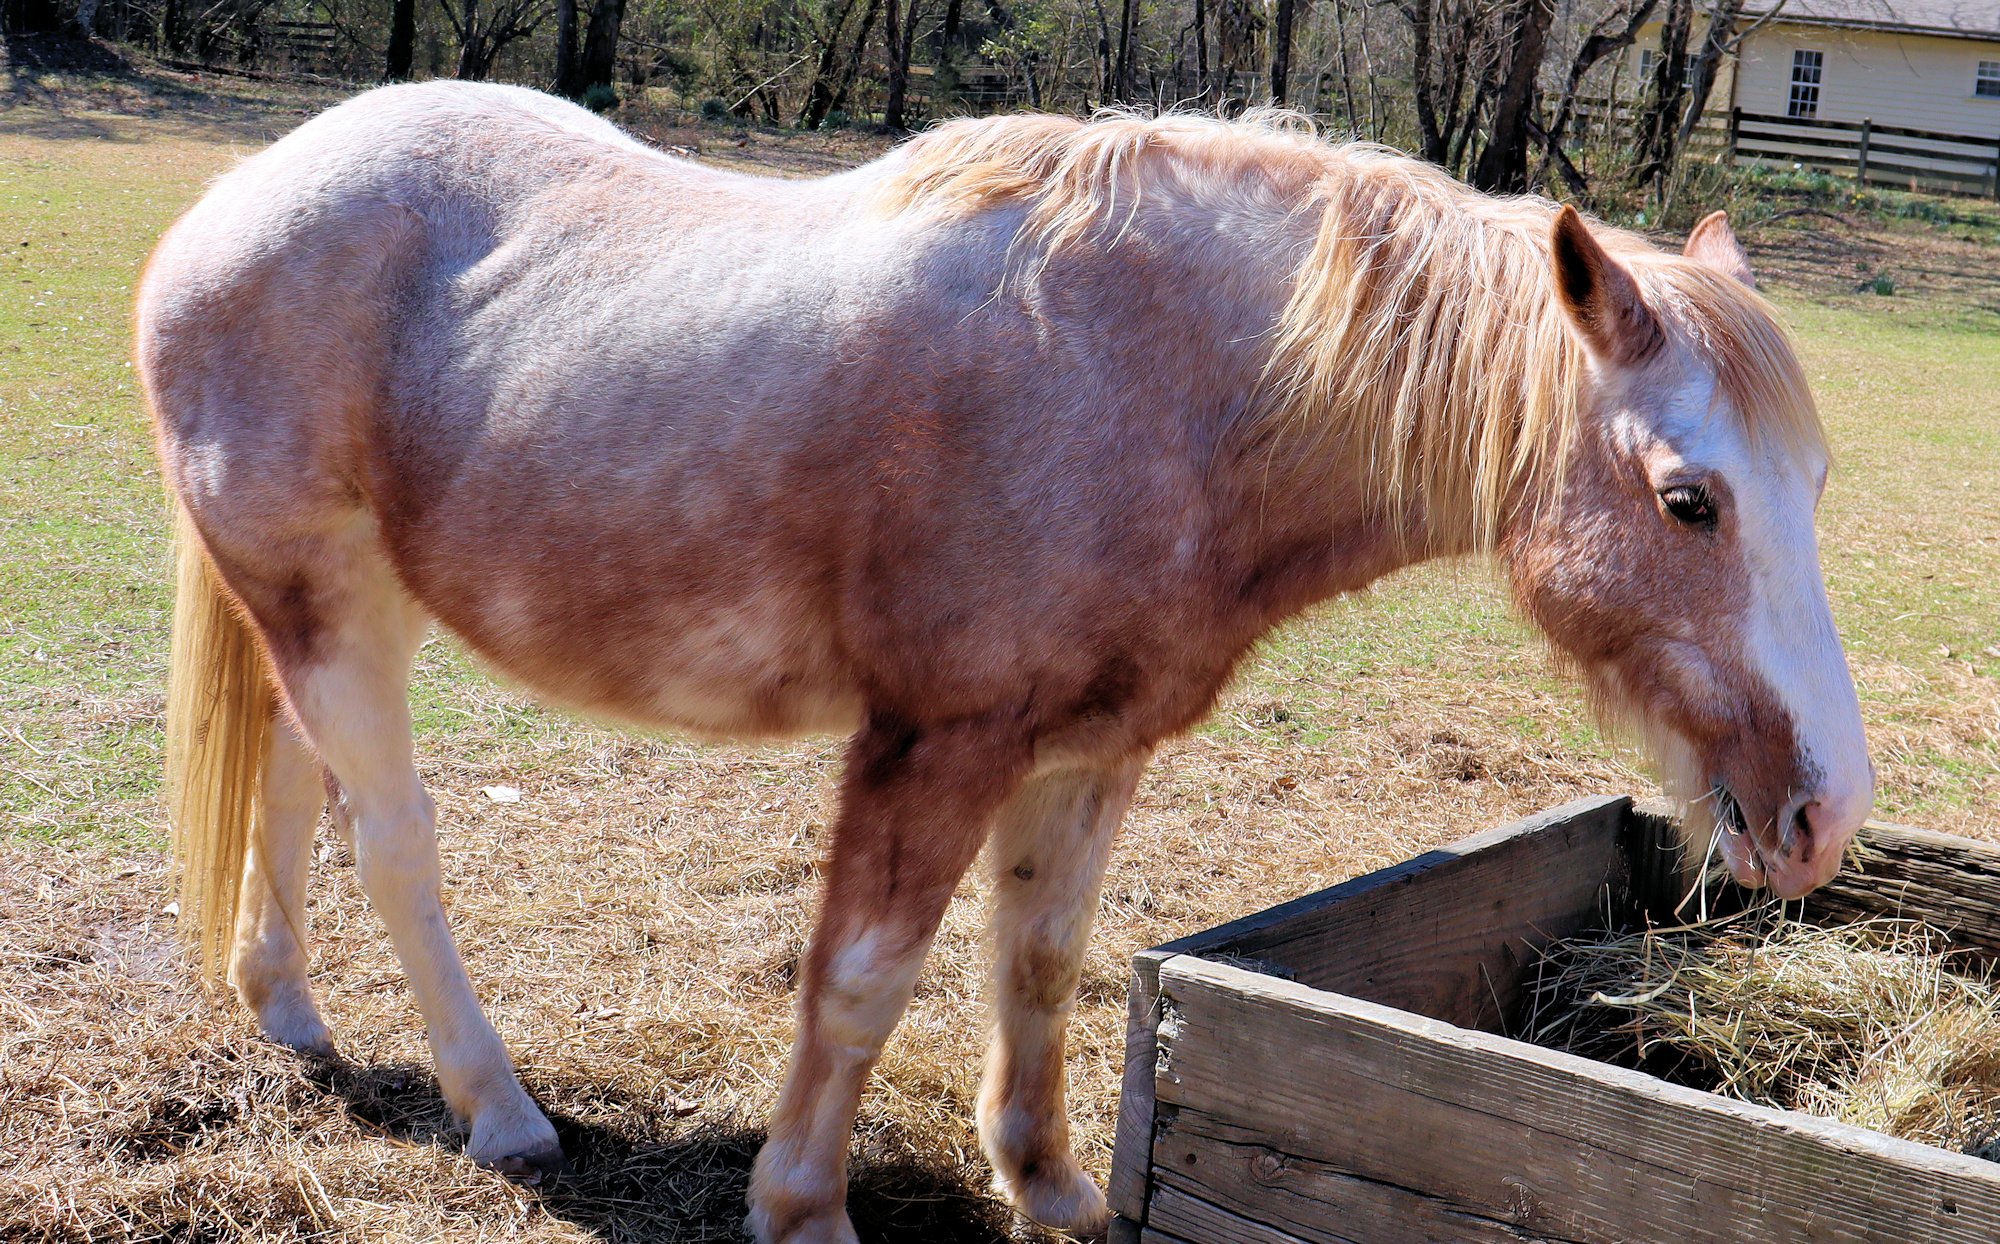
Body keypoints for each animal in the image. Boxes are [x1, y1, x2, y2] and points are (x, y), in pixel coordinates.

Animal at [139, 82, 1873, 1243]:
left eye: (1814, 481)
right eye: (1689, 499)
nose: (1826, 816)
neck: (1165, 383)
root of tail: (238, 198)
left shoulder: (1089, 750)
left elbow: (1040, 960)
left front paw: (1046, 1183)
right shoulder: (936, 742)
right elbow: (860, 980)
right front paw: (803, 1205)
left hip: (325, 612)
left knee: (288, 787)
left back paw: (287, 1012)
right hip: (333, 606)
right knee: (393, 841)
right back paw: (498, 1111)